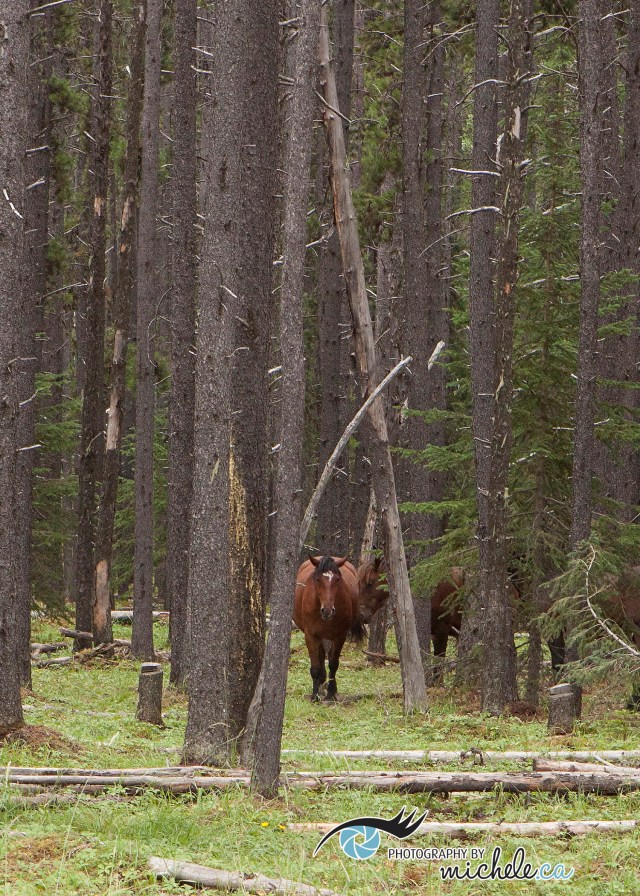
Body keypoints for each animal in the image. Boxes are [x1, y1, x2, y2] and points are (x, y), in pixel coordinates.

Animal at [293, 555, 365, 701]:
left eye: (337, 579)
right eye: (317, 580)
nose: (327, 610)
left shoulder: (340, 636)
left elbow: (333, 663)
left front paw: (331, 693)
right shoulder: (310, 635)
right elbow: (315, 666)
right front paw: (315, 695)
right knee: (320, 658)